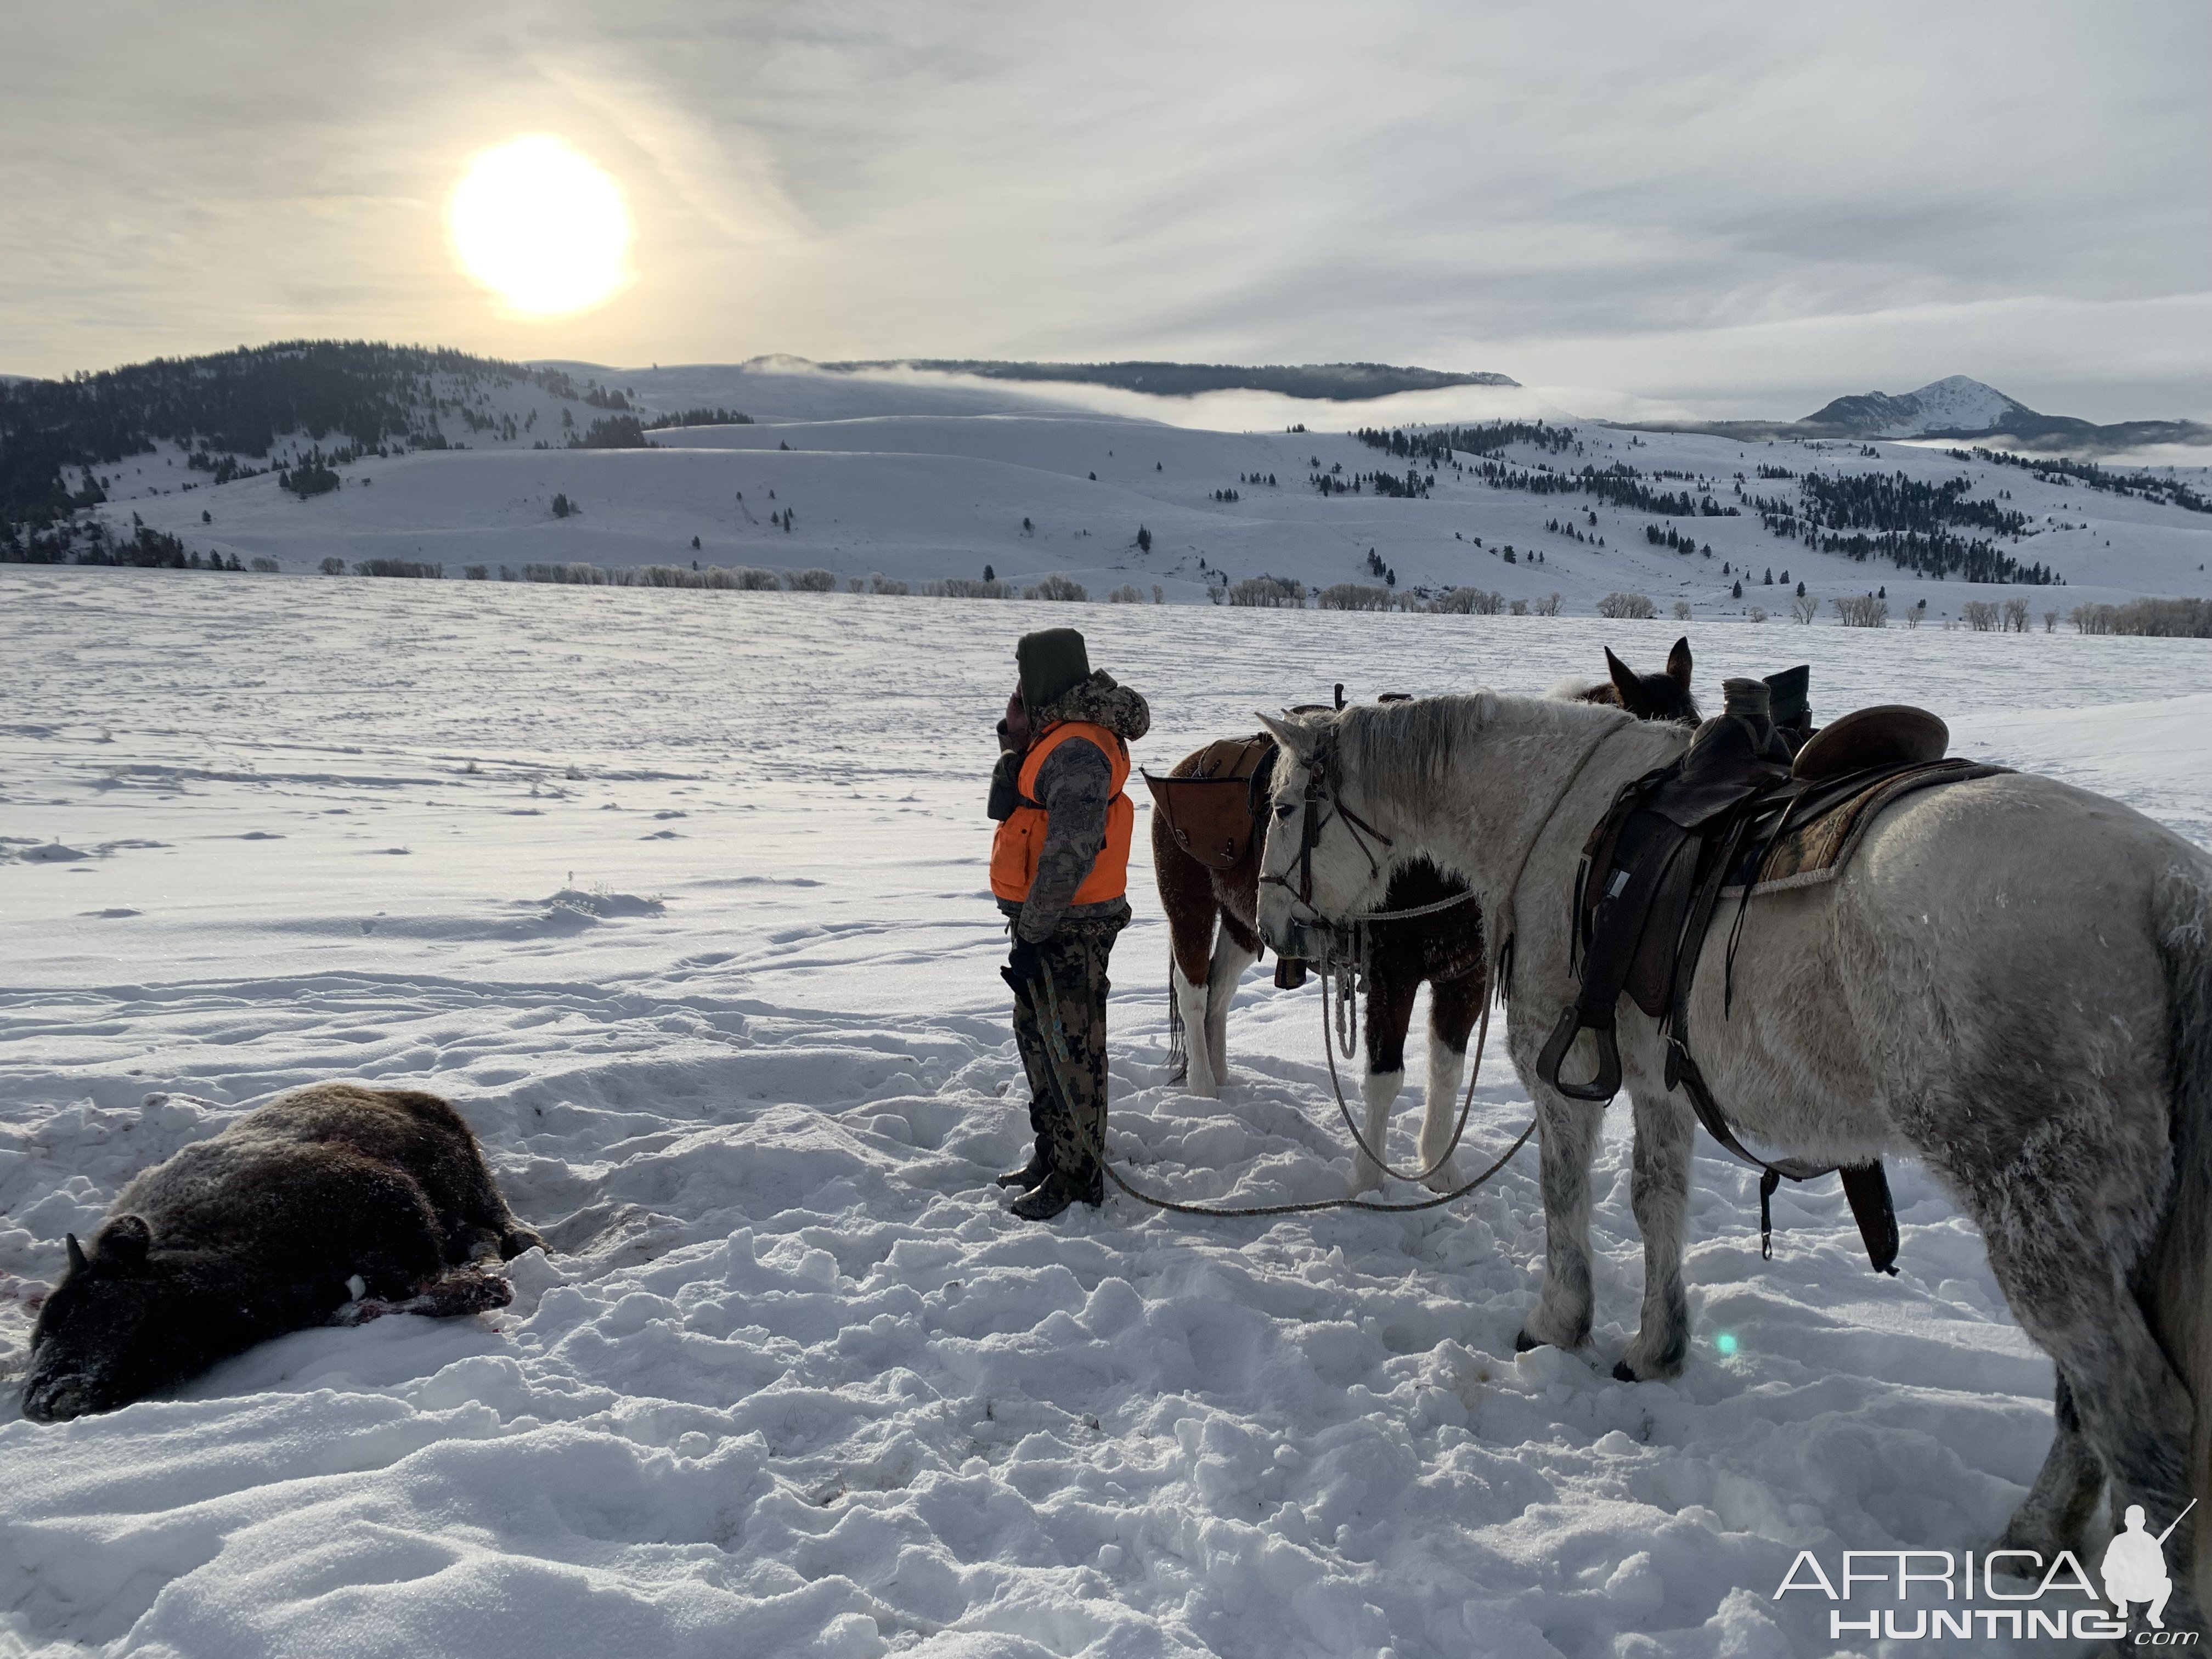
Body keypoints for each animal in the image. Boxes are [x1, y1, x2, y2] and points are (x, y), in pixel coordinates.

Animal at [22, 1084, 539, 1424]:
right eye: (42, 1328)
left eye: (91, 1306)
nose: (44, 1397)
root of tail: (405, 1094)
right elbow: (376, 1305)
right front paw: (483, 1287)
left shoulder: (386, 1194)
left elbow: (418, 1283)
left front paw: (488, 1287)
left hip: (469, 1178)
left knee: (498, 1219)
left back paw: (524, 1245)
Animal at [1159, 650, 1690, 1194]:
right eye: (1277, 809)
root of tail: (1189, 765)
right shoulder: (1392, 975)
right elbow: (1385, 1076)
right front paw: (1368, 1182)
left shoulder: (1465, 978)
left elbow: (1447, 1069)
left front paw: (1440, 1171)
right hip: (1192, 907)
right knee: (1194, 990)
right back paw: (1203, 1086)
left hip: (1244, 927)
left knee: (1220, 990)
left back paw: (1220, 1072)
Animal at [1256, 690, 2212, 1628]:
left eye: (1283, 806)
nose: (1277, 931)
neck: (1550, 810)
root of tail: (2167, 890)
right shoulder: (1662, 1089)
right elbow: (1655, 1205)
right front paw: (1656, 1349)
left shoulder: (1564, 1077)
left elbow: (1566, 1201)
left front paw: (1557, 1325)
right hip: (2112, 1224)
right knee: (2088, 1406)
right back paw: (2032, 1544)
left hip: (2038, 1207)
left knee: (2144, 1420)